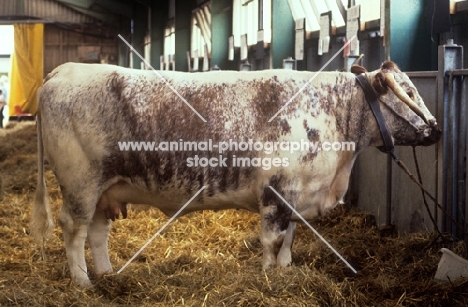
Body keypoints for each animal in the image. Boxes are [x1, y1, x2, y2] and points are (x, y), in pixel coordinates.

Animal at [31, 61, 440, 288]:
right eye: (407, 91)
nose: (436, 130)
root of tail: (63, 70)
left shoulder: (296, 193)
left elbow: (290, 238)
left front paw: (284, 272)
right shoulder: (277, 192)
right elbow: (273, 240)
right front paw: (270, 278)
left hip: (107, 188)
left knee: (98, 231)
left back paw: (107, 275)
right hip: (81, 182)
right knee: (74, 228)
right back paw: (83, 282)